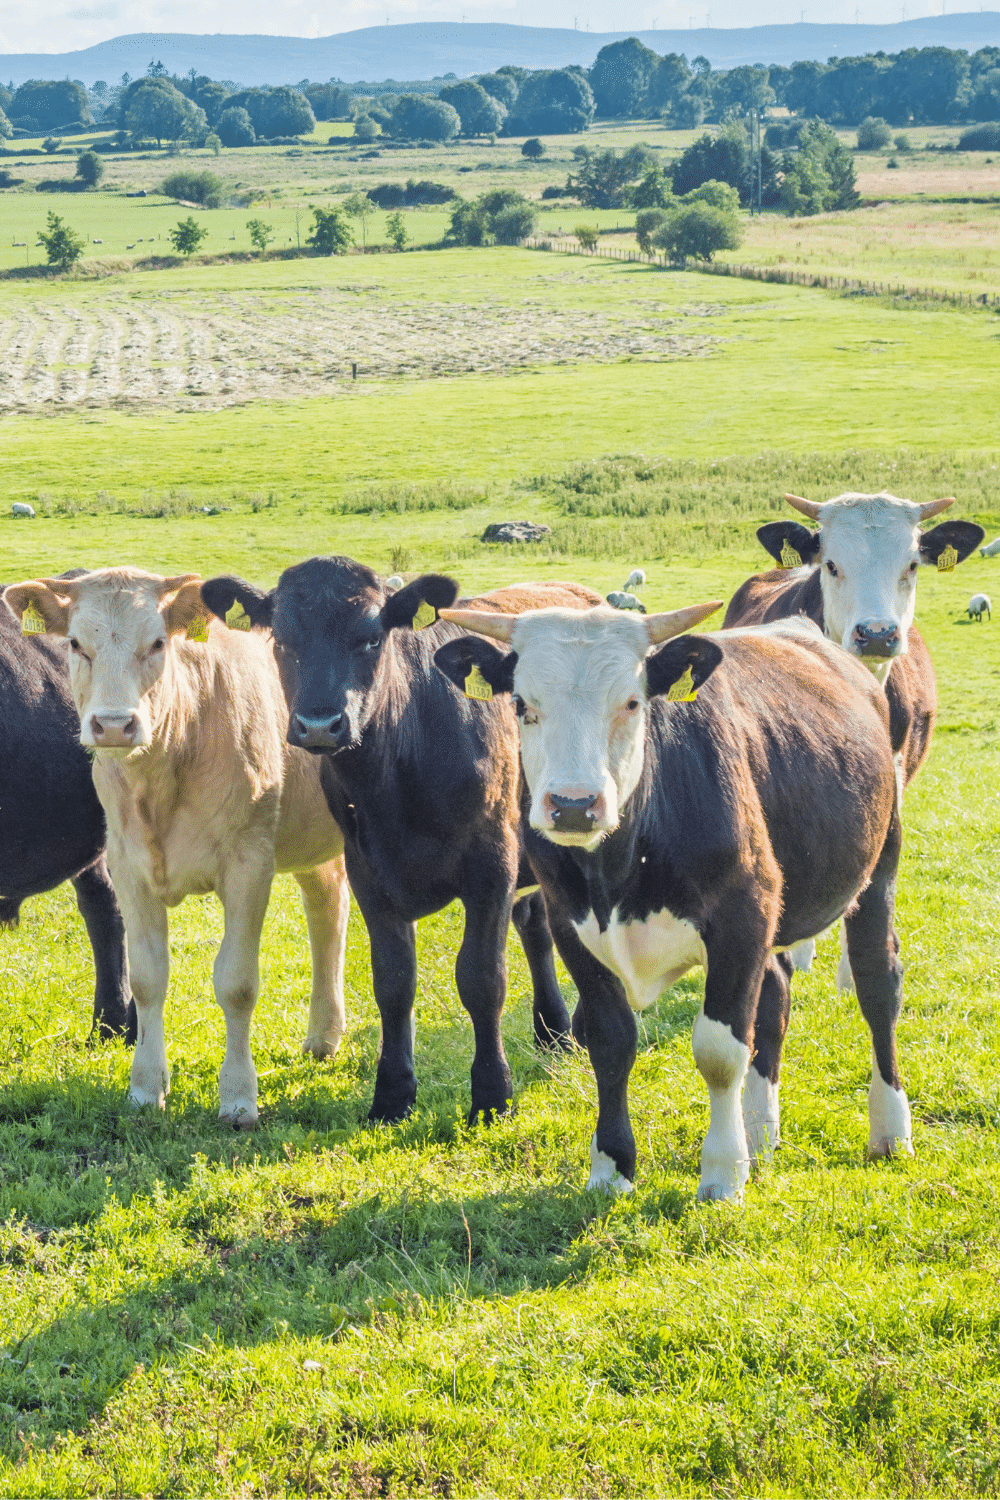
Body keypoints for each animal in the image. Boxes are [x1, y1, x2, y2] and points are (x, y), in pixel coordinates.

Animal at [194, 564, 602, 1128]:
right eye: (282, 639)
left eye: (371, 637)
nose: (319, 724)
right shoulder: (369, 871)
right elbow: (392, 982)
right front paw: (392, 1093)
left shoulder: (491, 864)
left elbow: (482, 979)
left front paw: (492, 1094)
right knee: (538, 924)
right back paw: (554, 1032)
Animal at [431, 603, 905, 1200]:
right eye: (521, 705)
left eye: (633, 703)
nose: (573, 805)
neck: (619, 867)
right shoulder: (570, 925)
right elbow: (609, 1040)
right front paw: (611, 1166)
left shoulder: (741, 917)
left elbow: (720, 1051)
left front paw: (722, 1173)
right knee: (774, 995)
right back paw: (759, 1133)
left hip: (878, 868)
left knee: (878, 984)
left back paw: (889, 1128)